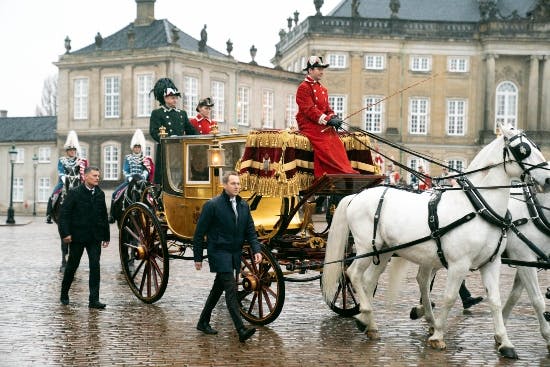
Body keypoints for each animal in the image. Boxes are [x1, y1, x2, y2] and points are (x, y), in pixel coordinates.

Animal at [324, 125, 550, 360]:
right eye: (523, 149)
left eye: (535, 146)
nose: (548, 180)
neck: (478, 207)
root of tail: (357, 195)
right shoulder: (462, 264)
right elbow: (449, 297)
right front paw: (438, 335)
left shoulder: (492, 262)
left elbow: (495, 300)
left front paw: (505, 343)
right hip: (366, 247)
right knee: (353, 273)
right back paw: (367, 313)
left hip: (384, 251)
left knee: (368, 280)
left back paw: (368, 323)